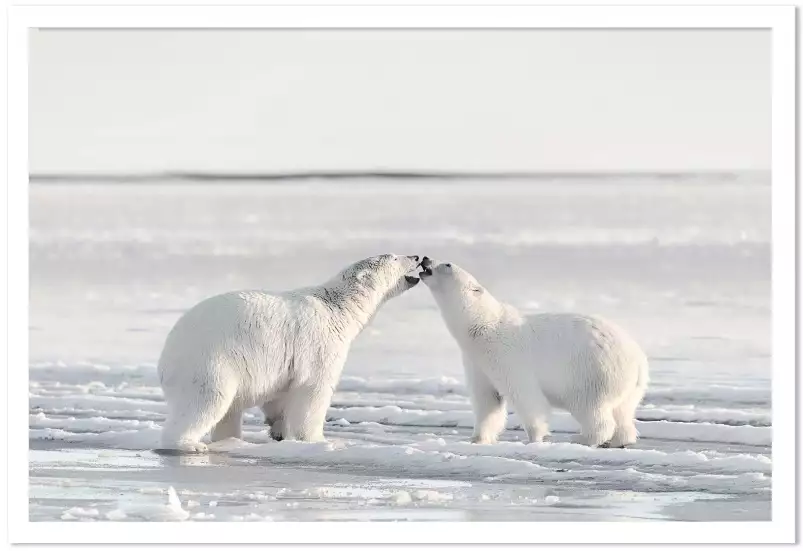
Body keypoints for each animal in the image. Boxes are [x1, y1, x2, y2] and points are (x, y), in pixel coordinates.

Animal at [155, 254, 420, 452]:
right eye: (394, 257)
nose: (417, 257)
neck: (337, 308)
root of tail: (166, 357)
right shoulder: (319, 343)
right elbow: (313, 390)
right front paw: (316, 439)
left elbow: (280, 393)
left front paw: (279, 429)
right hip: (210, 363)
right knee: (206, 402)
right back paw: (189, 444)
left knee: (228, 411)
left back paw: (230, 439)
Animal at [418, 258, 652, 448]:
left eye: (447, 264)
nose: (425, 259)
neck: (483, 326)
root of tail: (639, 360)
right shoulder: (477, 361)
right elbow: (487, 400)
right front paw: (477, 439)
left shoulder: (507, 356)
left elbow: (526, 397)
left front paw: (535, 438)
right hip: (628, 385)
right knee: (623, 411)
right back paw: (619, 440)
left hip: (593, 373)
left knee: (592, 408)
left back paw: (582, 438)